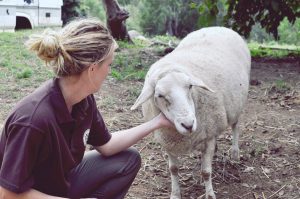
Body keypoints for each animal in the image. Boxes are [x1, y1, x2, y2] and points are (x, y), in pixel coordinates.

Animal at [131, 26, 251, 199]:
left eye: (190, 86)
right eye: (159, 95)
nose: (188, 125)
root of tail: (218, 27)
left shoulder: (208, 137)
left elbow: (206, 172)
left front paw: (209, 194)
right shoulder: (168, 142)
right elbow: (173, 169)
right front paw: (175, 193)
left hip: (236, 104)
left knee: (235, 126)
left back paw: (235, 153)